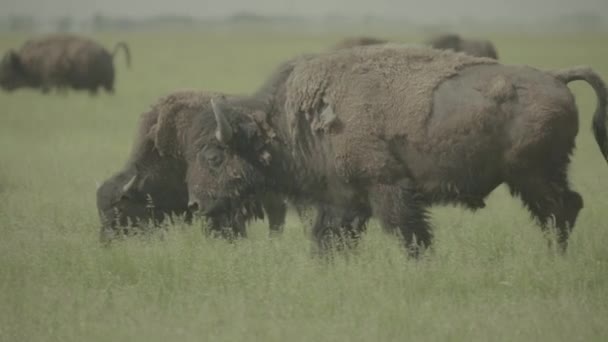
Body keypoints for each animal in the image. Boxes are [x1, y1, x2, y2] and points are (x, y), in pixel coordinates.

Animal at [0, 33, 131, 95]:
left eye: (7, 67)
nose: (2, 83)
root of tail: (109, 53)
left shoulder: (50, 83)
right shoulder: (58, 84)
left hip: (106, 85)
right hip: (96, 87)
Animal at [186, 45, 608, 258]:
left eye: (214, 157)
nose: (195, 204)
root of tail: (554, 77)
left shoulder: (386, 187)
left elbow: (408, 231)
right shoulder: (342, 199)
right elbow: (330, 237)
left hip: (533, 175)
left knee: (561, 209)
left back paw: (557, 256)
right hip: (539, 176)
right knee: (564, 207)